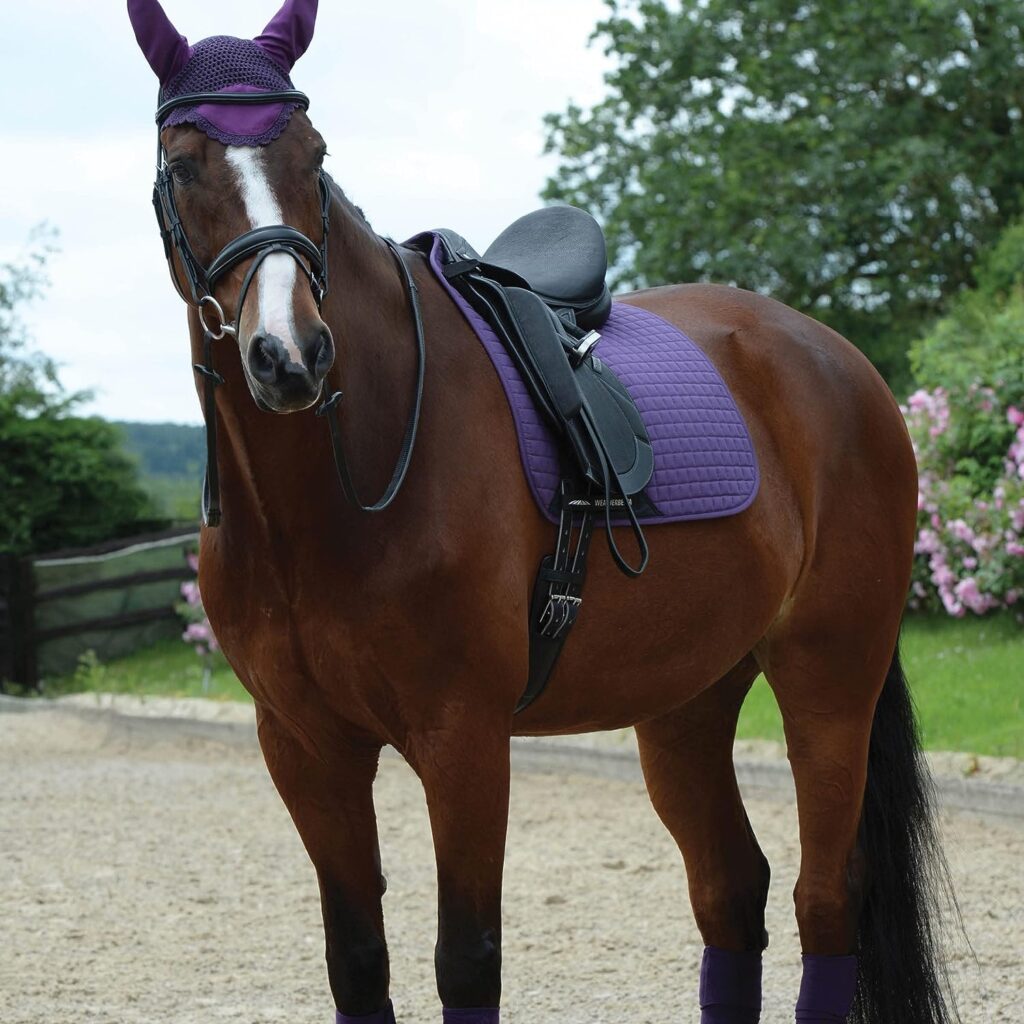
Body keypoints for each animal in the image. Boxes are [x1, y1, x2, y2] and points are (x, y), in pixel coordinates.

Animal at [130, 2, 958, 1024]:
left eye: (313, 155)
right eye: (183, 163)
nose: (291, 355)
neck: (329, 501)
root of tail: (842, 365)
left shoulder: (464, 738)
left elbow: (467, 960)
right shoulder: (304, 748)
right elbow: (357, 960)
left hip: (829, 677)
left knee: (823, 901)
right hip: (686, 699)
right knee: (732, 891)